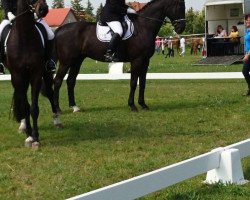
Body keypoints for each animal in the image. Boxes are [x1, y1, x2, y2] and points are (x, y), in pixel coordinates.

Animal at [6, 0, 61, 147]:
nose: (43, 10)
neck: (24, 36)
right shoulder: (18, 77)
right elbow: (25, 106)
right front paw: (29, 135)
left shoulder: (36, 75)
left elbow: (34, 108)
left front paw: (35, 137)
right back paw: (23, 126)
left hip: (46, 74)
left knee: (50, 93)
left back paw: (57, 120)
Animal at [53, 0, 186, 112]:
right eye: (180, 6)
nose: (181, 28)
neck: (144, 26)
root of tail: (60, 30)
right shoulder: (137, 60)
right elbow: (133, 82)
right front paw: (132, 106)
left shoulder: (145, 61)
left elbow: (143, 83)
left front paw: (143, 104)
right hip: (66, 62)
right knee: (58, 81)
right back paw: (57, 109)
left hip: (77, 61)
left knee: (70, 81)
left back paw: (74, 107)